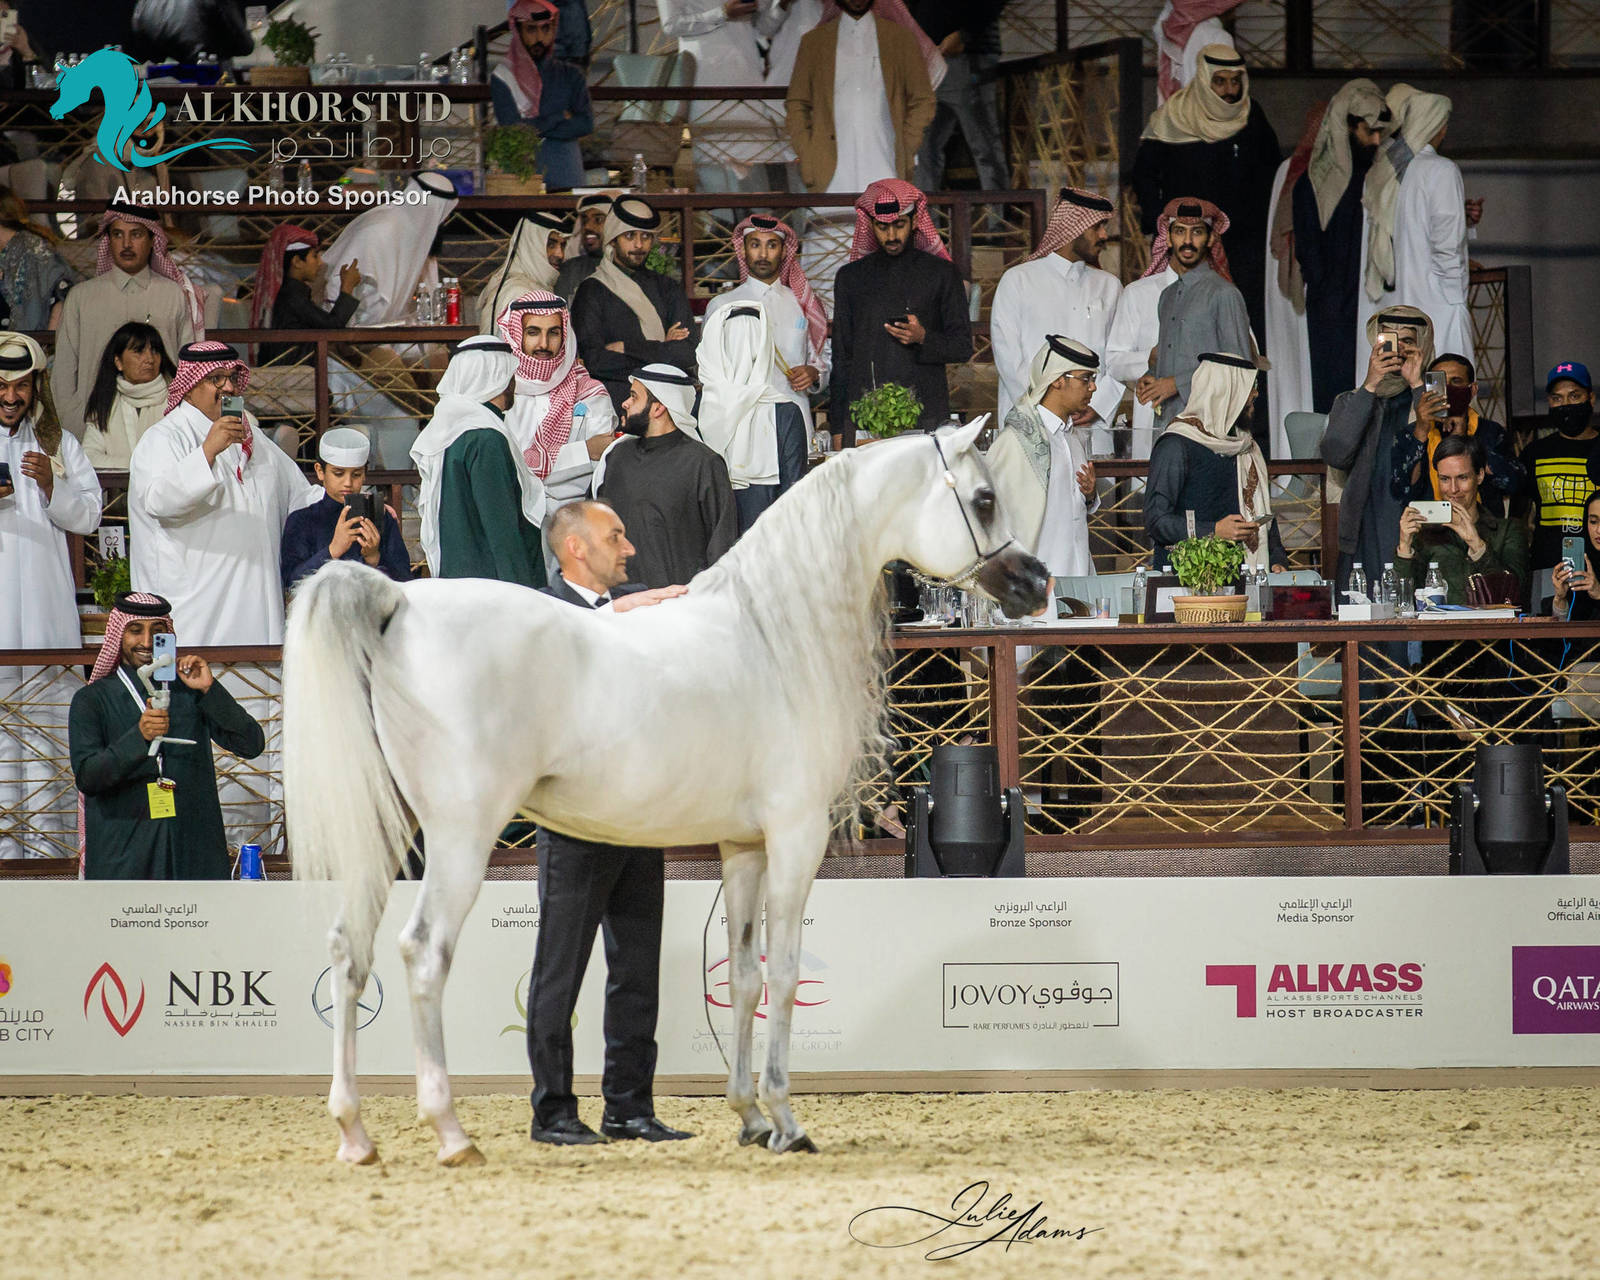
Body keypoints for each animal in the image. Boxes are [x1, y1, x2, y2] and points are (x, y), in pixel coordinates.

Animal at [282, 421, 1048, 1166]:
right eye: (984, 499)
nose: (1036, 584)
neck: (770, 634)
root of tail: (402, 601)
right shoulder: (796, 838)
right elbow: (784, 973)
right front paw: (786, 1121)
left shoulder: (744, 848)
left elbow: (743, 976)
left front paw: (748, 1116)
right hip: (459, 838)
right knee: (421, 953)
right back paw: (450, 1131)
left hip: (389, 832)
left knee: (350, 950)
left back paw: (355, 1134)